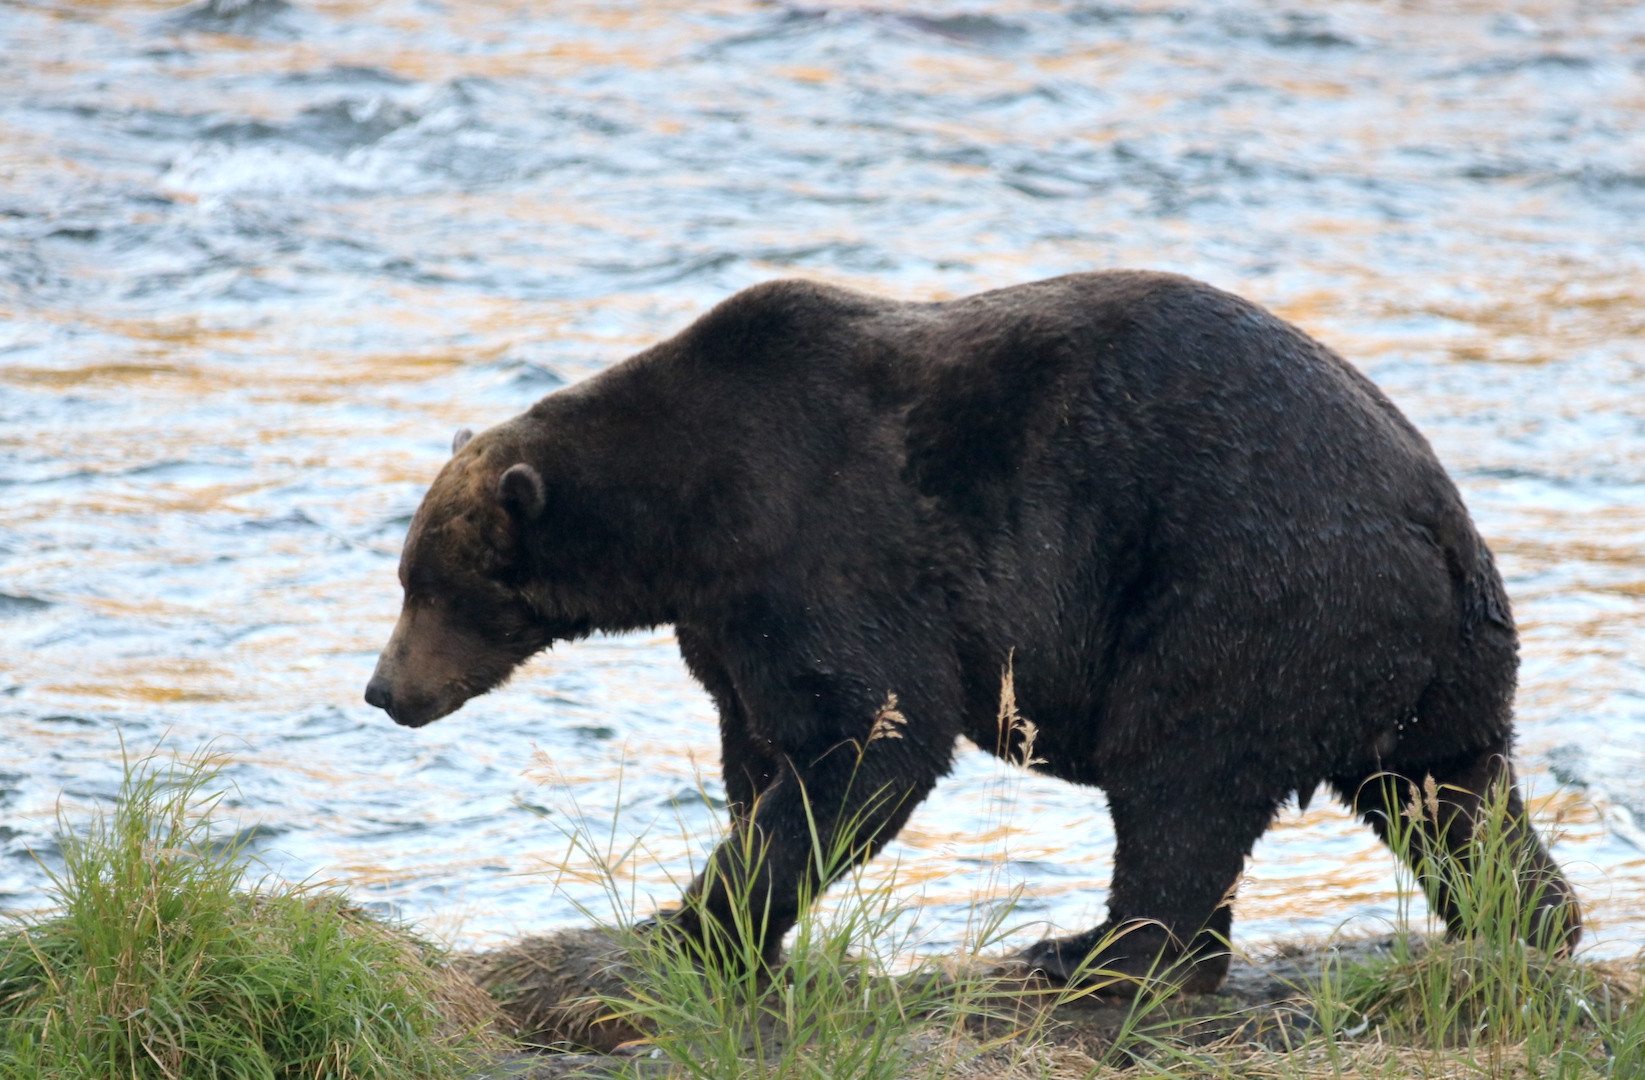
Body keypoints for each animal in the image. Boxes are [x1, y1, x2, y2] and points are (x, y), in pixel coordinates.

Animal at [364, 271, 1580, 993]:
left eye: (426, 583)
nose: (382, 690)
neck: (685, 517)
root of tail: (1437, 524)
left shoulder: (824, 544)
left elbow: (870, 741)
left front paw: (693, 923)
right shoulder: (727, 624)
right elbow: (758, 746)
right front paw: (728, 913)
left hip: (1250, 590)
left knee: (1181, 776)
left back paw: (1092, 951)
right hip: (1432, 664)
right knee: (1451, 794)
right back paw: (1532, 921)